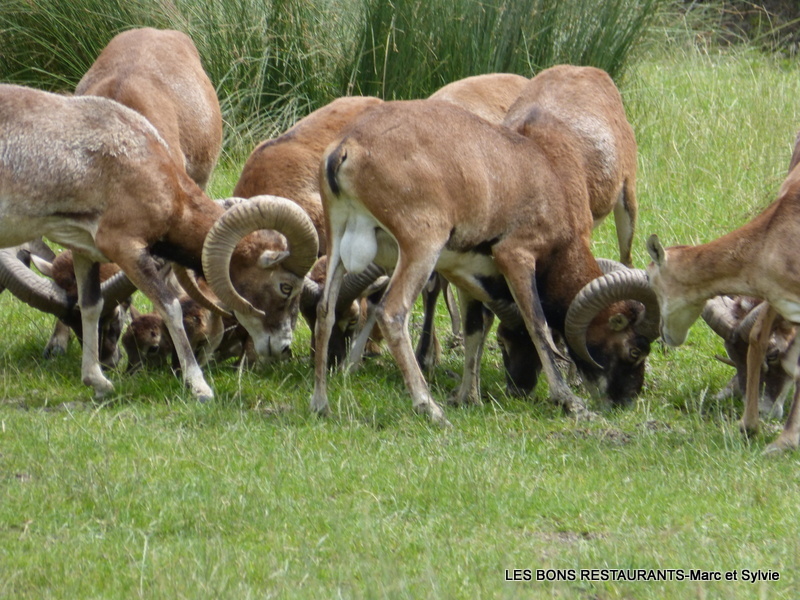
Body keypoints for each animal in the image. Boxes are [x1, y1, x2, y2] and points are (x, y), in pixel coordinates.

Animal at [0, 83, 319, 402]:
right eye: (286, 286)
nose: (282, 347)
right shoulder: (126, 246)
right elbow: (170, 307)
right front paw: (200, 388)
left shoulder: (83, 249)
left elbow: (91, 305)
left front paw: (98, 382)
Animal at [311, 98, 659, 425]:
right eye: (635, 349)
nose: (625, 400)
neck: (547, 180)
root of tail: (347, 149)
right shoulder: (517, 257)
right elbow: (538, 325)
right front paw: (571, 402)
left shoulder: (462, 273)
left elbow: (474, 330)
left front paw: (469, 397)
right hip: (421, 247)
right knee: (392, 313)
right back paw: (430, 408)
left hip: (339, 242)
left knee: (326, 310)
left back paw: (321, 404)